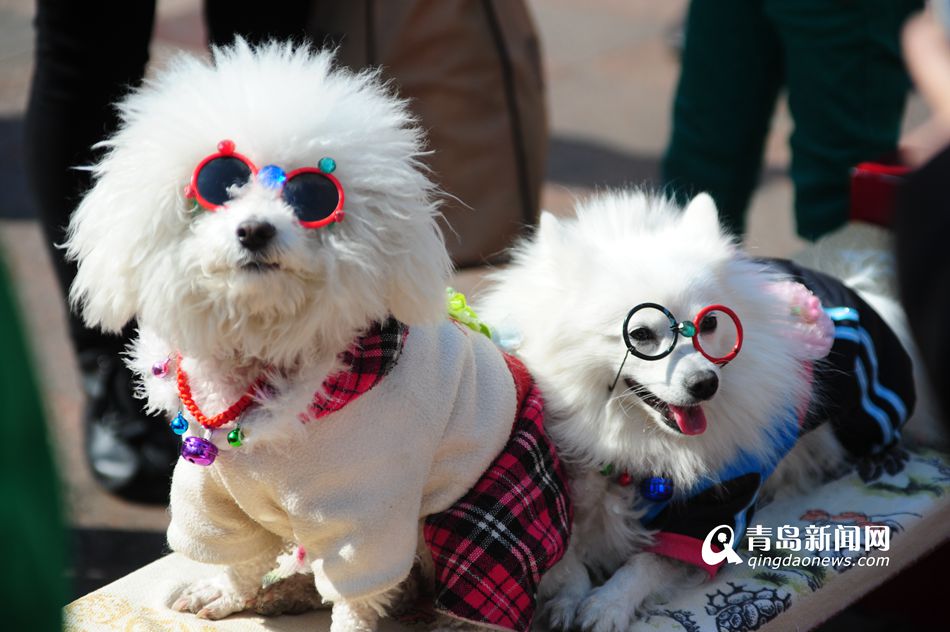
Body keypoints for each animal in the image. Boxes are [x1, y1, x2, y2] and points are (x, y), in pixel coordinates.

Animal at [70, 40, 572, 632]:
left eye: (311, 197)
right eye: (220, 185)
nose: (255, 230)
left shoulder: (367, 514)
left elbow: (357, 597)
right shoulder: (213, 491)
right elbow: (238, 557)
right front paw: (228, 593)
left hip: (482, 514)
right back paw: (286, 592)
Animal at [480, 193, 924, 632]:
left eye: (710, 323)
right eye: (640, 334)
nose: (706, 383)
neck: (632, 436)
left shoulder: (718, 502)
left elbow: (648, 563)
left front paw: (608, 604)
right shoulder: (557, 497)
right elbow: (566, 560)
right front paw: (569, 598)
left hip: (864, 414)